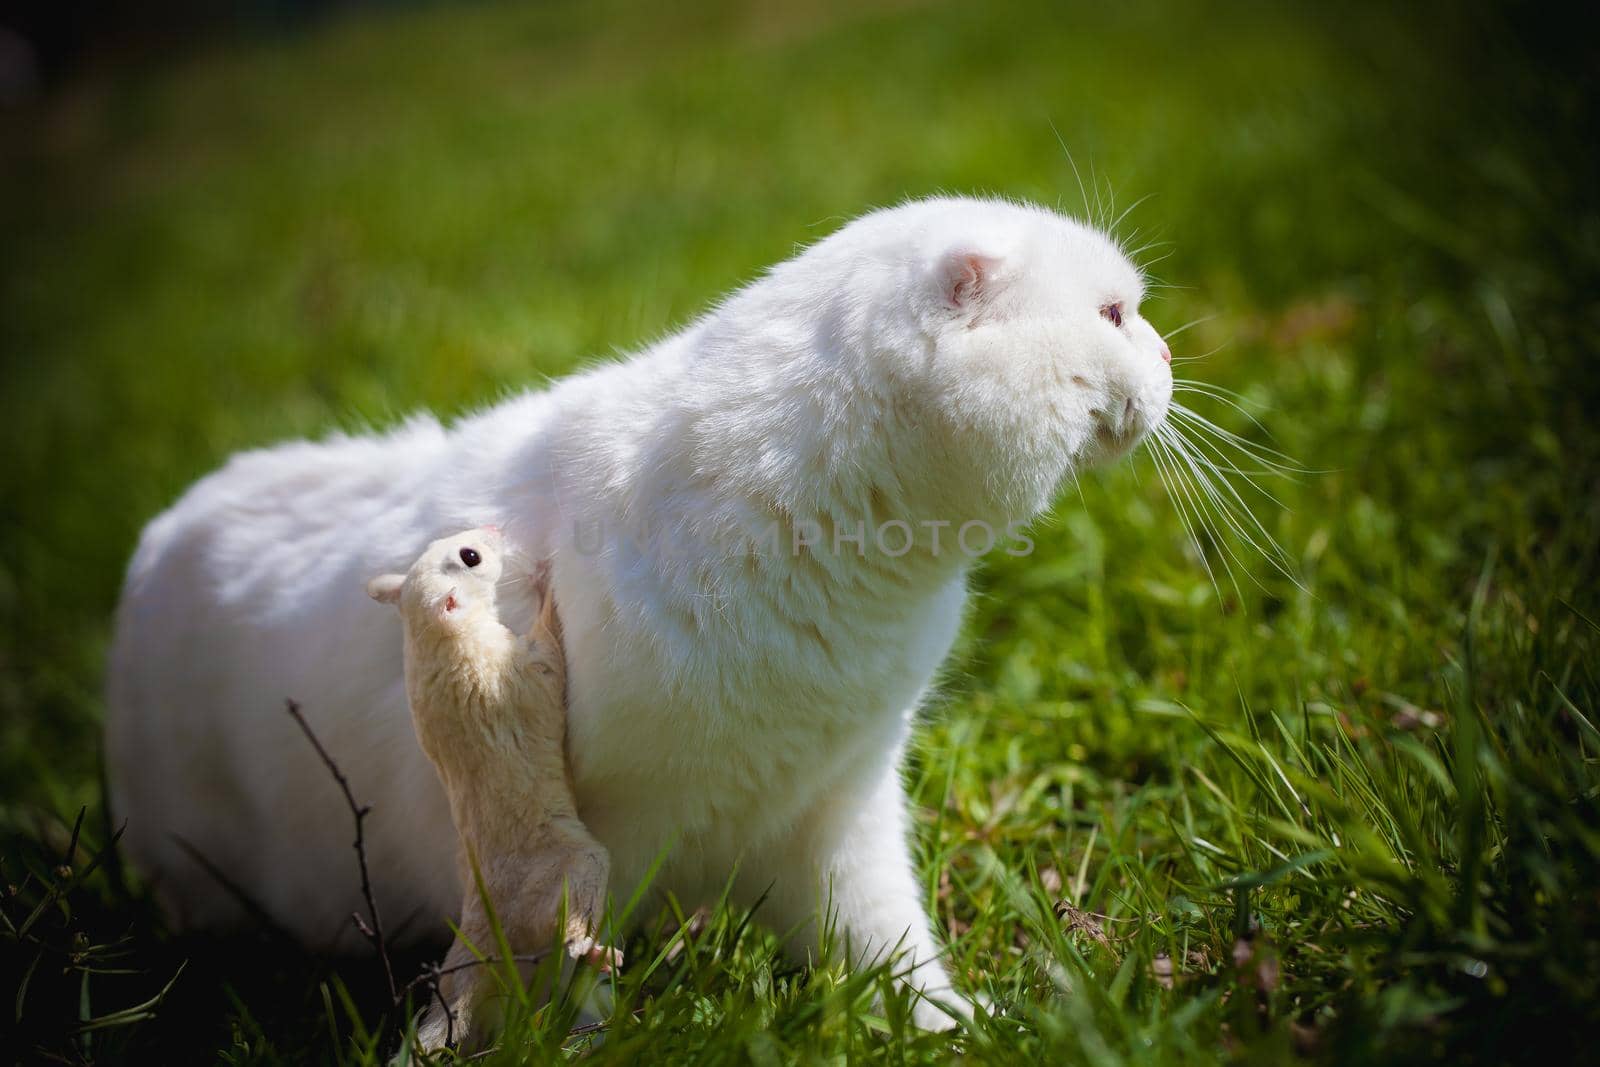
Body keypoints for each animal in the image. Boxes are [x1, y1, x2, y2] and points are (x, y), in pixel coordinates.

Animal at [106, 195, 1171, 1030]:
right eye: (1114, 314)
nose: (1168, 350)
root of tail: (157, 532)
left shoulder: (843, 802)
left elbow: (885, 941)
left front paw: (954, 1027)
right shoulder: (588, 844)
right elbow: (572, 973)